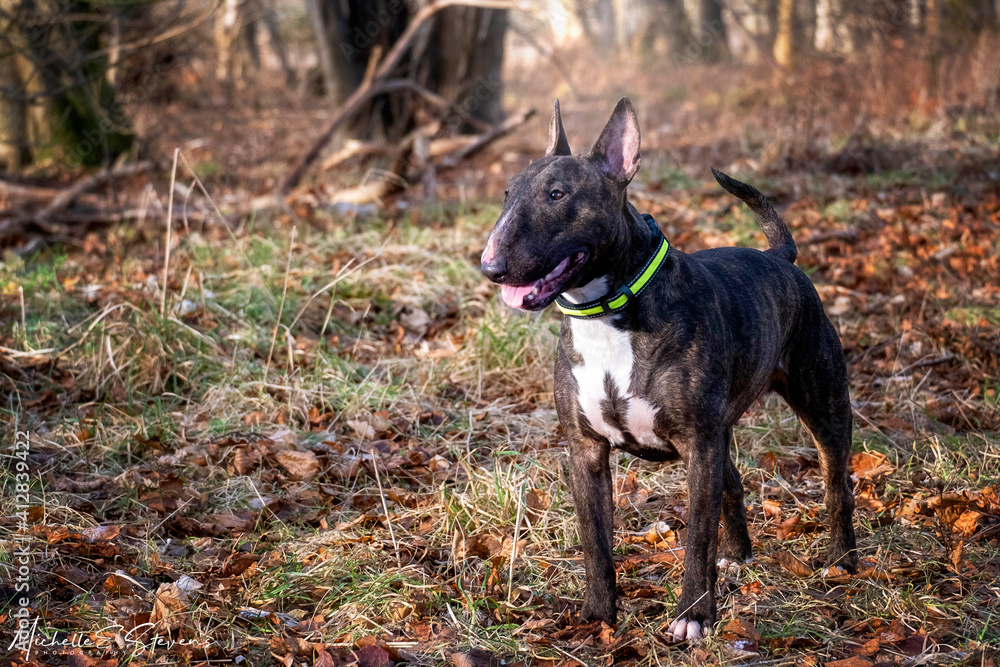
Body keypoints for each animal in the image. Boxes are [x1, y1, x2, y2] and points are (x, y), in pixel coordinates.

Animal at [480, 98, 856, 640]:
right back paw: (738, 555)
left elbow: (696, 537)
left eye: (557, 194)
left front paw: (693, 616)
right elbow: (595, 542)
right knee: (733, 482)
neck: (608, 314)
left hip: (821, 402)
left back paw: (843, 560)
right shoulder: (586, 450)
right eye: (508, 192)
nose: (490, 267)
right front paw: (598, 616)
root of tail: (781, 258)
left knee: (836, 483)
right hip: (723, 430)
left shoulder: (697, 444)